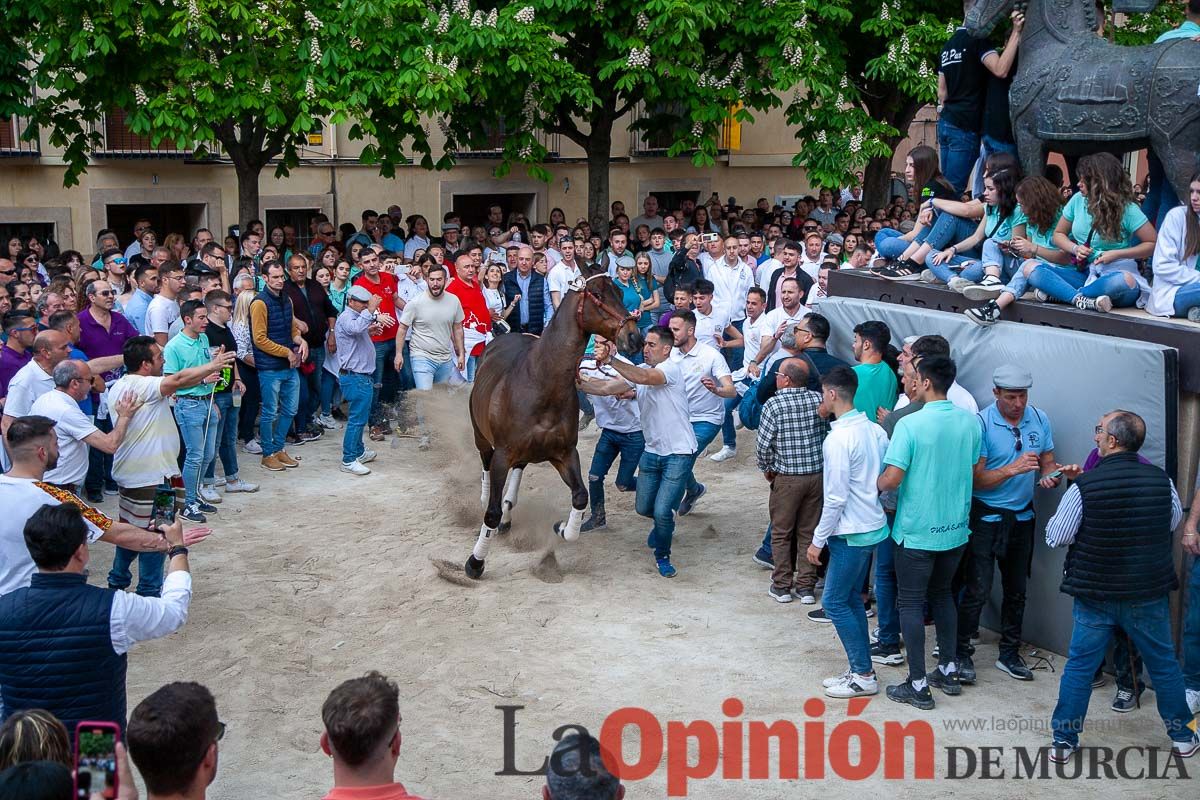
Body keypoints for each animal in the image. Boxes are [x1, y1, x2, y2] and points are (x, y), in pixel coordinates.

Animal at [463, 262, 648, 582]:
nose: (634, 337)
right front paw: (475, 563)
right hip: (482, 438)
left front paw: (563, 528)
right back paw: (489, 500)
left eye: (619, 290)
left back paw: (510, 511)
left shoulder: (564, 453)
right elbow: (491, 512)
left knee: (519, 472)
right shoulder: (502, 455)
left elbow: (581, 497)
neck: (541, 382)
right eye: (598, 294)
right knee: (486, 469)